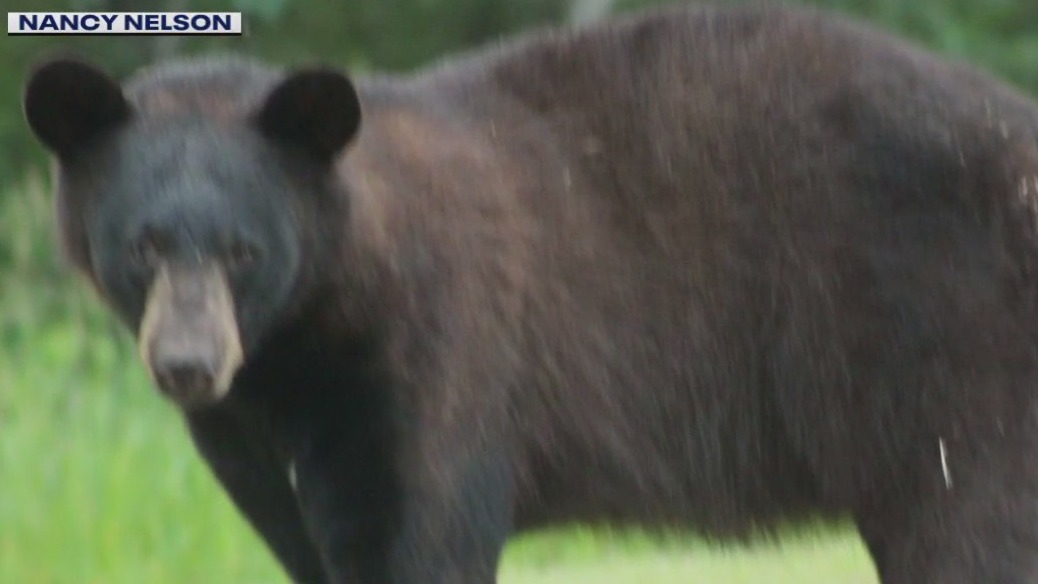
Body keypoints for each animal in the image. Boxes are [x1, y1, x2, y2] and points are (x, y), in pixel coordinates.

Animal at [21, 3, 1038, 583]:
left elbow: (420, 537)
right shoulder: (258, 439)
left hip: (945, 359)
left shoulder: (439, 360)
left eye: (244, 250)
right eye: (142, 246)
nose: (189, 365)